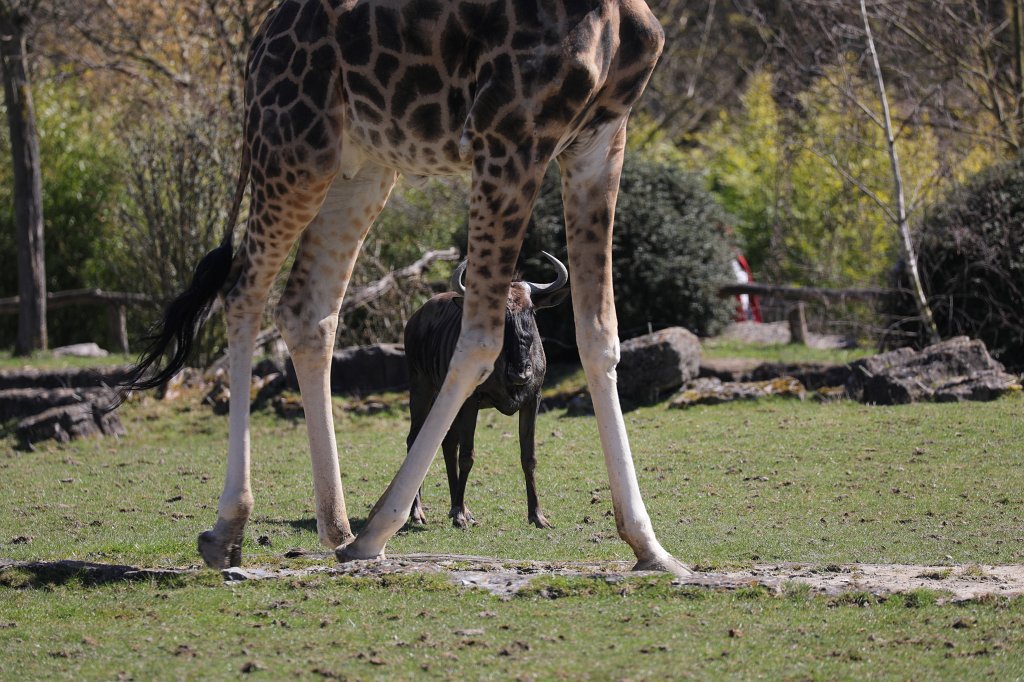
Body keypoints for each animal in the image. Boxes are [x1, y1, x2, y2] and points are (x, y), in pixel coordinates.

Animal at [120, 0, 689, 577]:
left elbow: (599, 336)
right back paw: (230, 529)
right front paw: (380, 529)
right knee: (242, 293)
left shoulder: (600, 140)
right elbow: (479, 340)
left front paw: (651, 546)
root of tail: (260, 41)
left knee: (306, 309)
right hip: (294, 143)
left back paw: (335, 526)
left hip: (360, 165)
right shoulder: (508, 135)